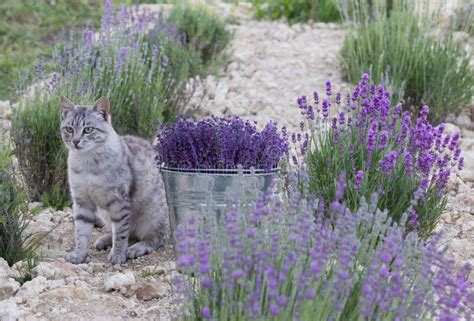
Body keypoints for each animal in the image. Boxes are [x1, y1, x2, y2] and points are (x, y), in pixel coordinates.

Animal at [60, 95, 169, 262]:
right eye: (69, 129)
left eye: (88, 129)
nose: (76, 141)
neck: (87, 162)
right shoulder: (82, 201)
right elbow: (81, 232)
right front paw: (79, 254)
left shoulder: (119, 202)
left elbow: (120, 233)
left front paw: (117, 255)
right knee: (129, 233)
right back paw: (105, 240)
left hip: (151, 216)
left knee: (155, 238)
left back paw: (136, 248)